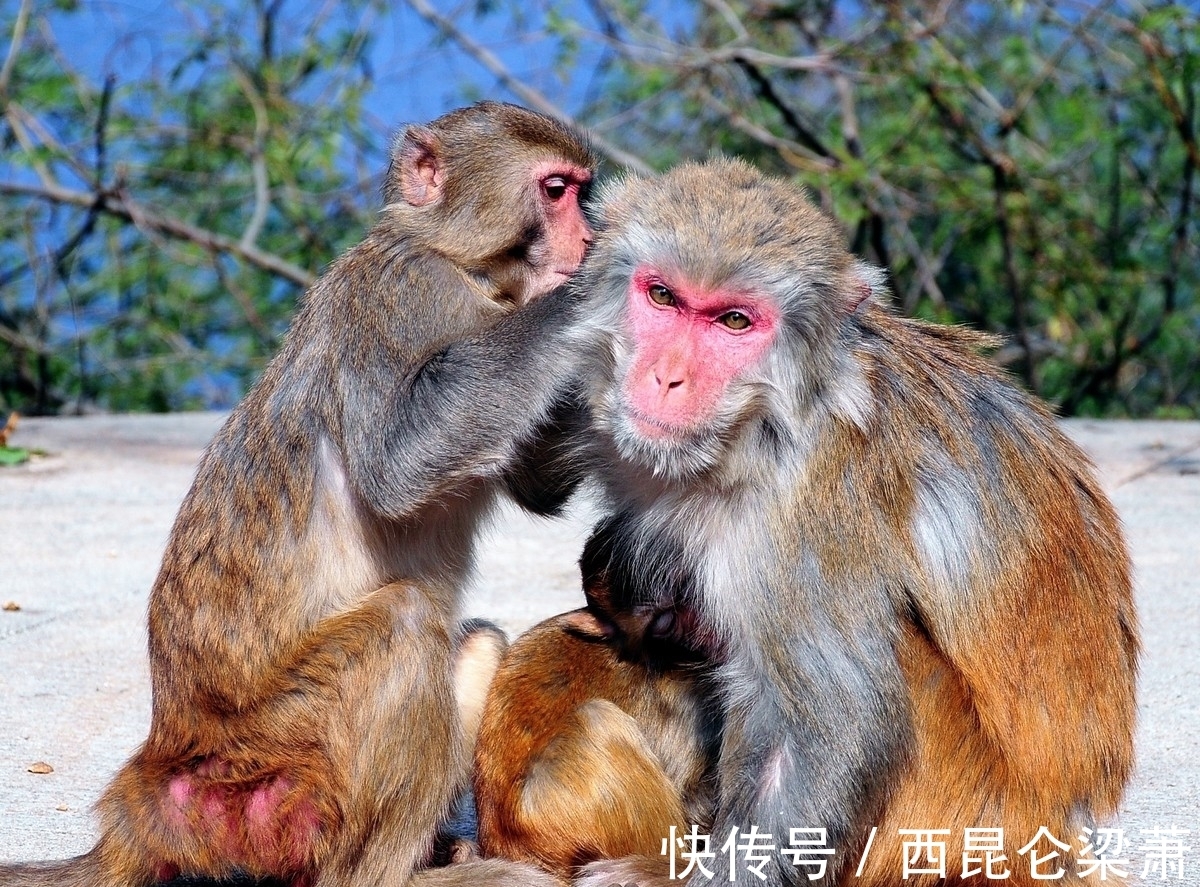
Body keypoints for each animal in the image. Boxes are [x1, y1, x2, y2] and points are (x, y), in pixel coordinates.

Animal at [0, 103, 595, 887]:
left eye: (582, 191)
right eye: (556, 190)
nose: (586, 239)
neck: (464, 263)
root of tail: (154, 783)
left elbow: (535, 487)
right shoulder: (403, 293)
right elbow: (401, 460)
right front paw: (599, 293)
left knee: (472, 642)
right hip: (274, 765)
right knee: (406, 626)